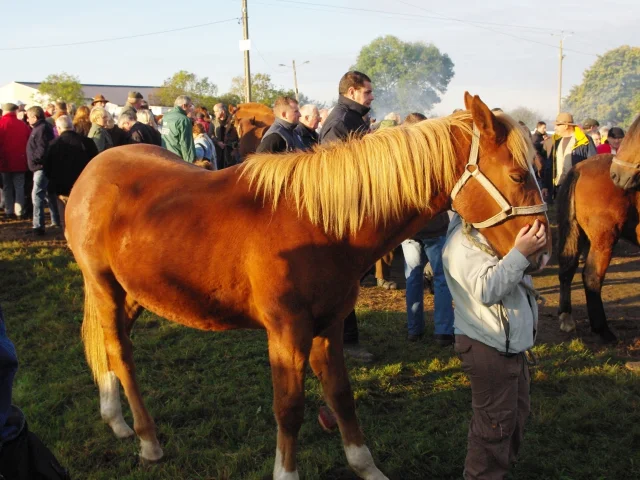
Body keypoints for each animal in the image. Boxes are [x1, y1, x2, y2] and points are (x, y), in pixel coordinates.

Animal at [556, 119, 640, 342]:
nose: (618, 174)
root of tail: (580, 168)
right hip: (603, 239)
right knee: (591, 276)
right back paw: (602, 329)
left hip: (578, 234)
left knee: (567, 268)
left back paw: (566, 317)